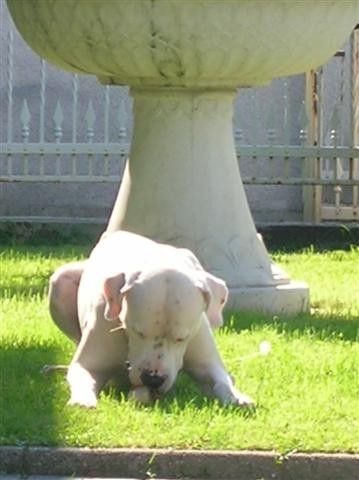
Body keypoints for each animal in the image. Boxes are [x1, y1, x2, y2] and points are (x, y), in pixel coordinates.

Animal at [48, 231, 256, 406]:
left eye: (181, 338)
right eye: (138, 332)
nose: (153, 379)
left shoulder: (206, 362)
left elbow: (220, 380)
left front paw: (237, 396)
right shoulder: (90, 365)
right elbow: (83, 376)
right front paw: (83, 400)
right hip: (60, 281)